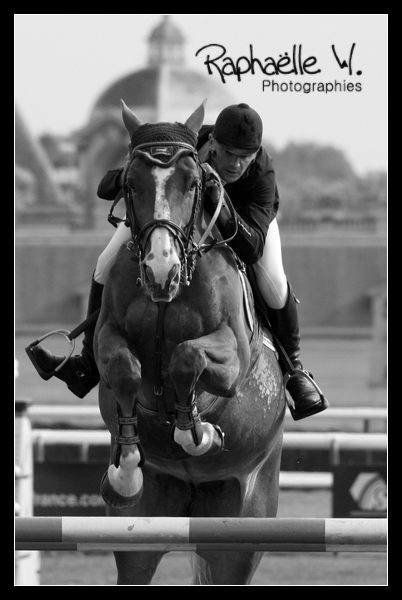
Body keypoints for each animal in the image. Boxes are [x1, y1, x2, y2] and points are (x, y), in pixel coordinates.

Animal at [94, 101, 286, 584]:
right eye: (130, 183)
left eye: (194, 182)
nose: (160, 270)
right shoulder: (108, 338)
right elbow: (126, 370)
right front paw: (125, 473)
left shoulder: (233, 356)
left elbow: (186, 358)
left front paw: (199, 433)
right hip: (143, 530)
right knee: (137, 562)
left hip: (240, 531)